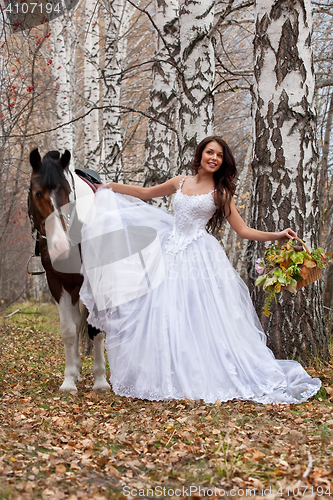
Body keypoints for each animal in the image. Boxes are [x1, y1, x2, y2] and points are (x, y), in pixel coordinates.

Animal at [27, 148, 110, 394]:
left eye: (67, 192)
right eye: (37, 193)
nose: (60, 246)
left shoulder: (95, 280)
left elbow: (95, 329)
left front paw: (100, 380)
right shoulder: (57, 283)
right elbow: (68, 330)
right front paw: (69, 379)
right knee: (76, 321)